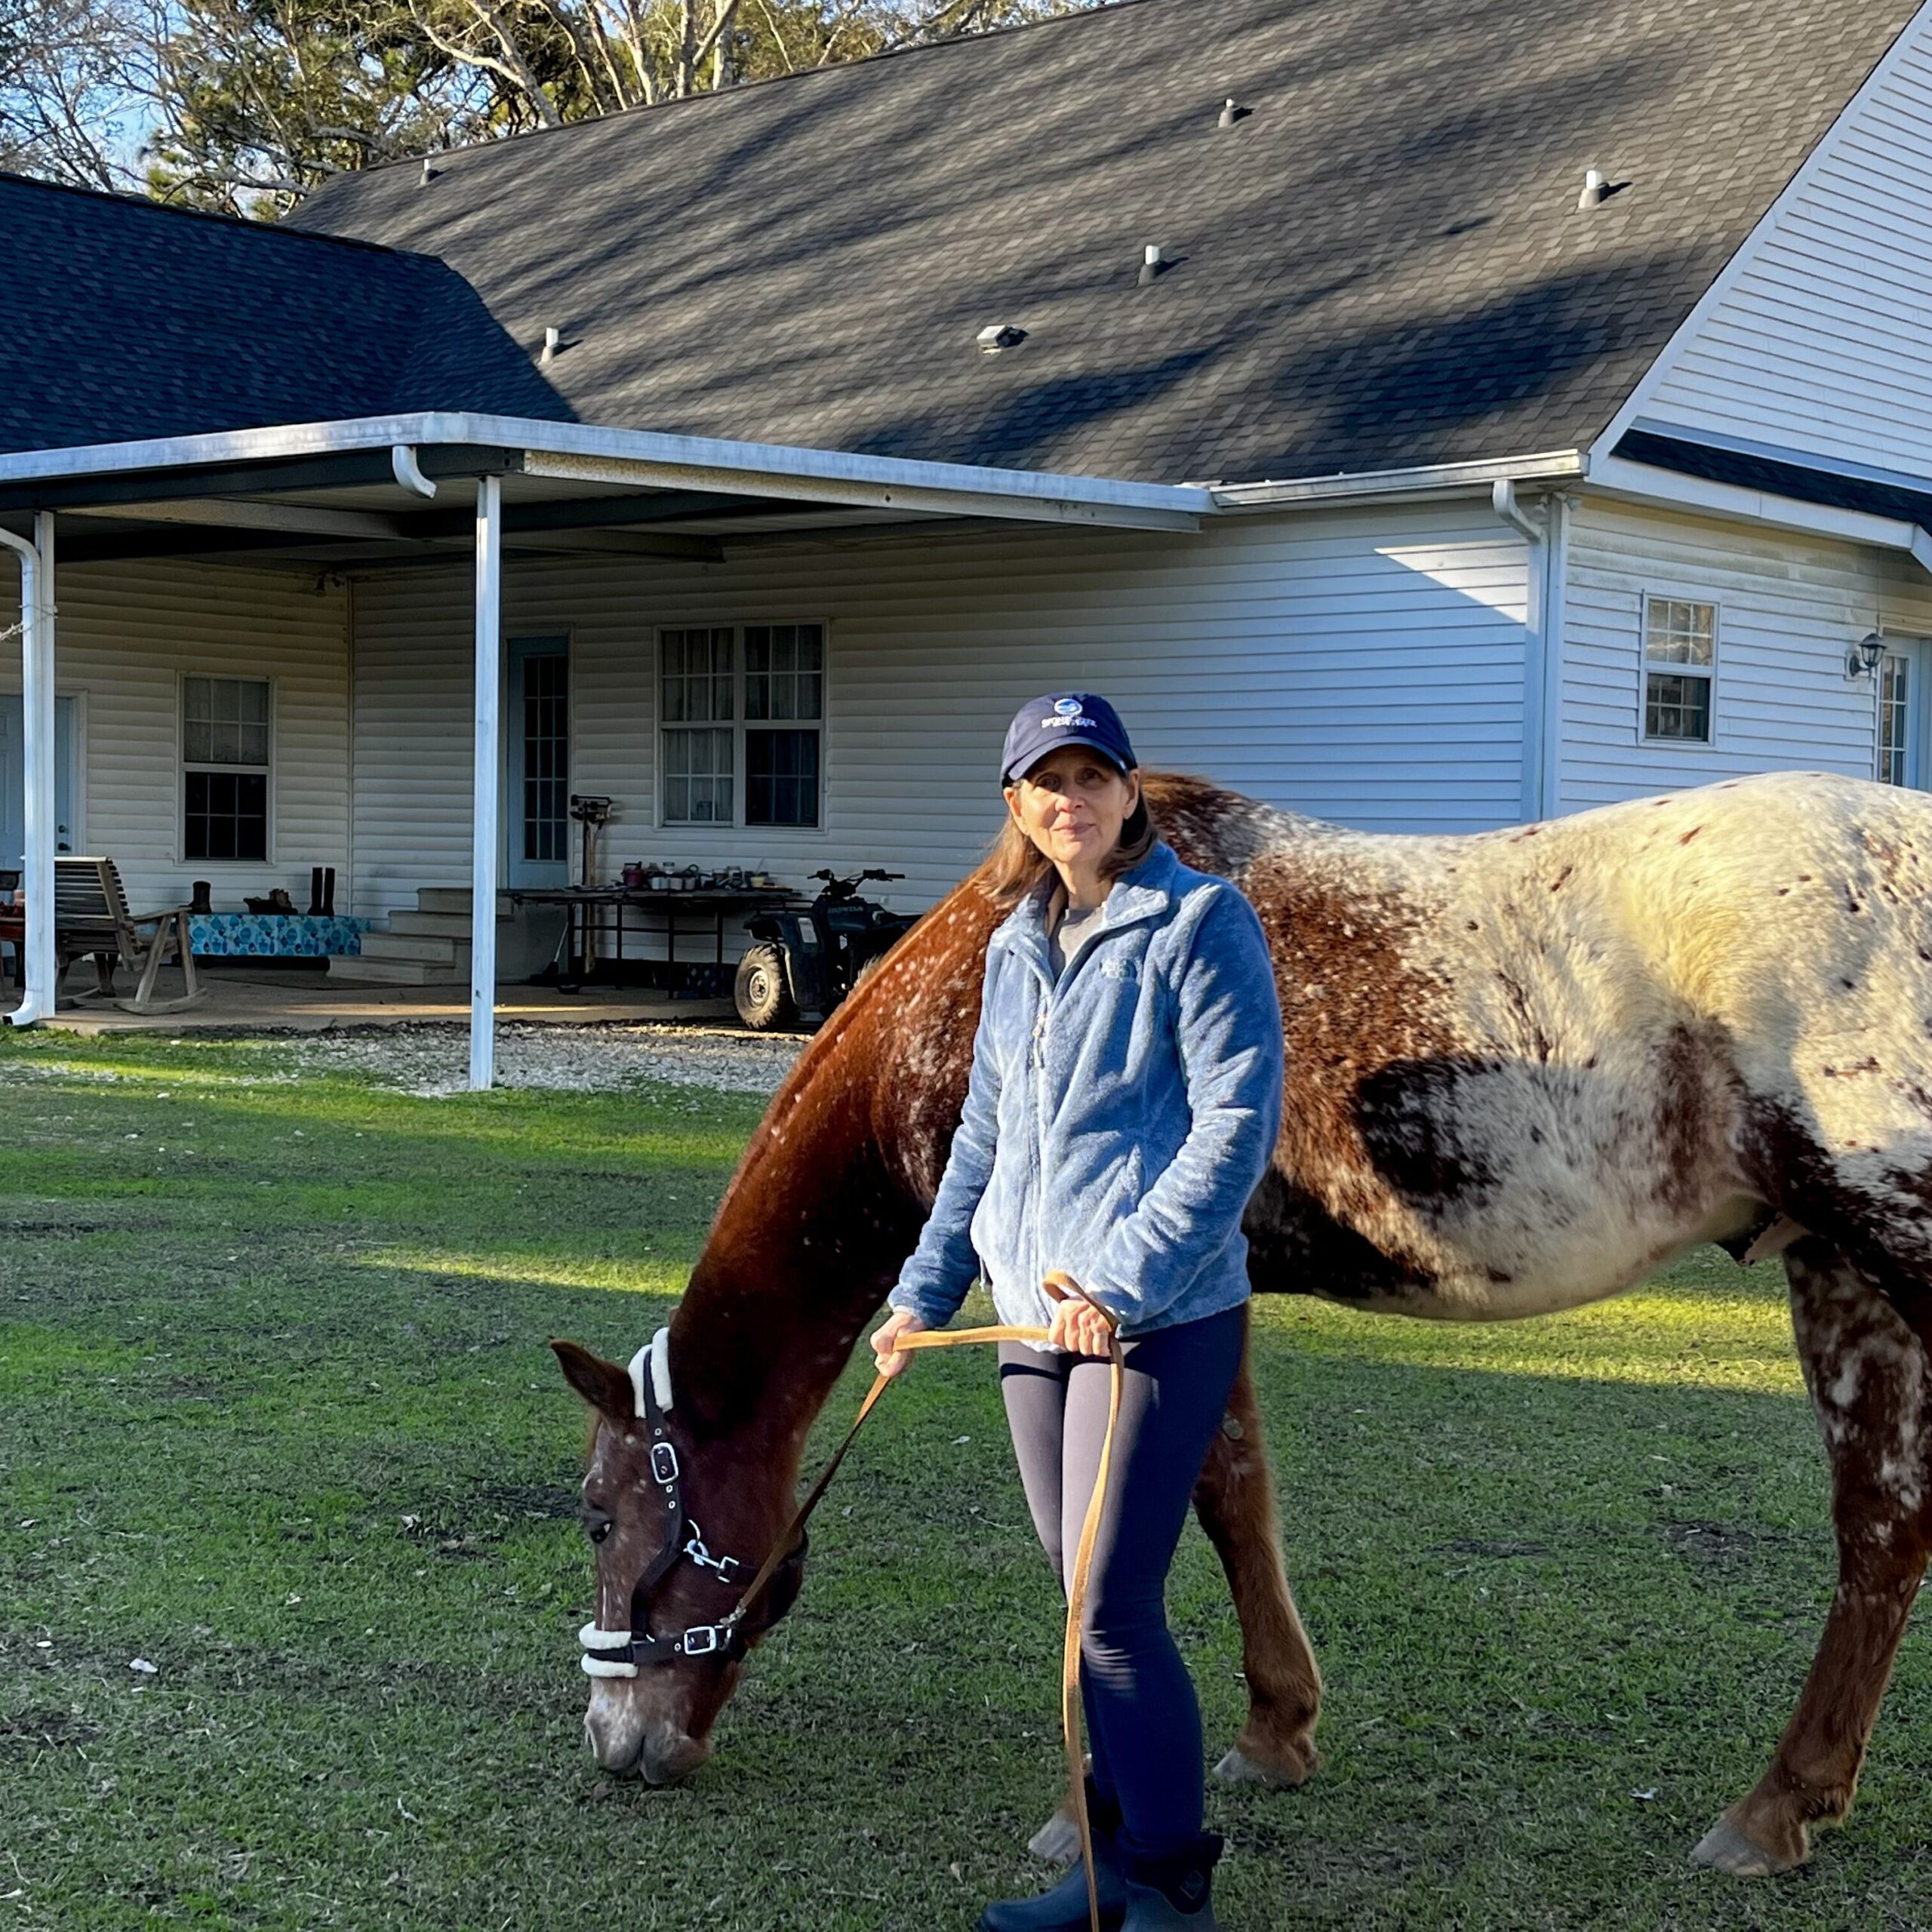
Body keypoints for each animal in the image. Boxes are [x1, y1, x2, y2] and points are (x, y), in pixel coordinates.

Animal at [556, 764, 1932, 1870]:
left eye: (599, 1515)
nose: (614, 1741)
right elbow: (1236, 1495)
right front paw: (1277, 1731)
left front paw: (1100, 1805)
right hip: (1841, 1272)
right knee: (1883, 1532)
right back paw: (1785, 1804)